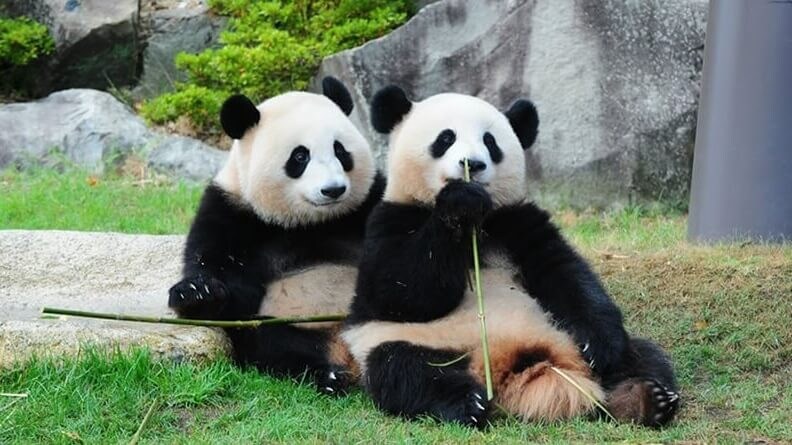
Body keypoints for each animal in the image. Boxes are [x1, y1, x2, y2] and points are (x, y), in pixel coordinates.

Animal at [168, 77, 384, 395]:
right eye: (300, 156)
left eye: (341, 151)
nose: (333, 190)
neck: (310, 222)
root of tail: (347, 353)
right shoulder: (231, 213)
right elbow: (224, 285)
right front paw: (196, 292)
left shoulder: (369, 201)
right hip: (293, 326)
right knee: (272, 342)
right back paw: (328, 376)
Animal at [341, 86, 680, 427]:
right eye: (446, 138)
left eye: (490, 142)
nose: (473, 164)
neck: (481, 222)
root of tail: (512, 366)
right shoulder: (389, 220)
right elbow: (398, 292)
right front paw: (460, 202)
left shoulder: (516, 221)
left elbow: (566, 274)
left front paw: (598, 345)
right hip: (408, 343)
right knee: (404, 371)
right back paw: (468, 403)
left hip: (563, 336)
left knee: (642, 356)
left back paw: (644, 398)